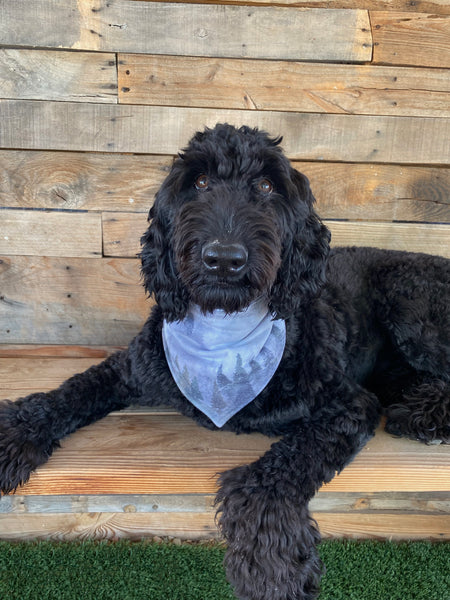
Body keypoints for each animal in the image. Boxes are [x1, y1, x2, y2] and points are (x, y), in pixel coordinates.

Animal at [0, 123, 450, 600]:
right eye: (199, 182)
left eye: (267, 186)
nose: (224, 259)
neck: (223, 332)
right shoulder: (132, 367)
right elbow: (73, 390)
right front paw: (16, 431)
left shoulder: (348, 404)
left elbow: (279, 471)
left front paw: (271, 561)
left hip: (410, 301)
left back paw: (423, 417)